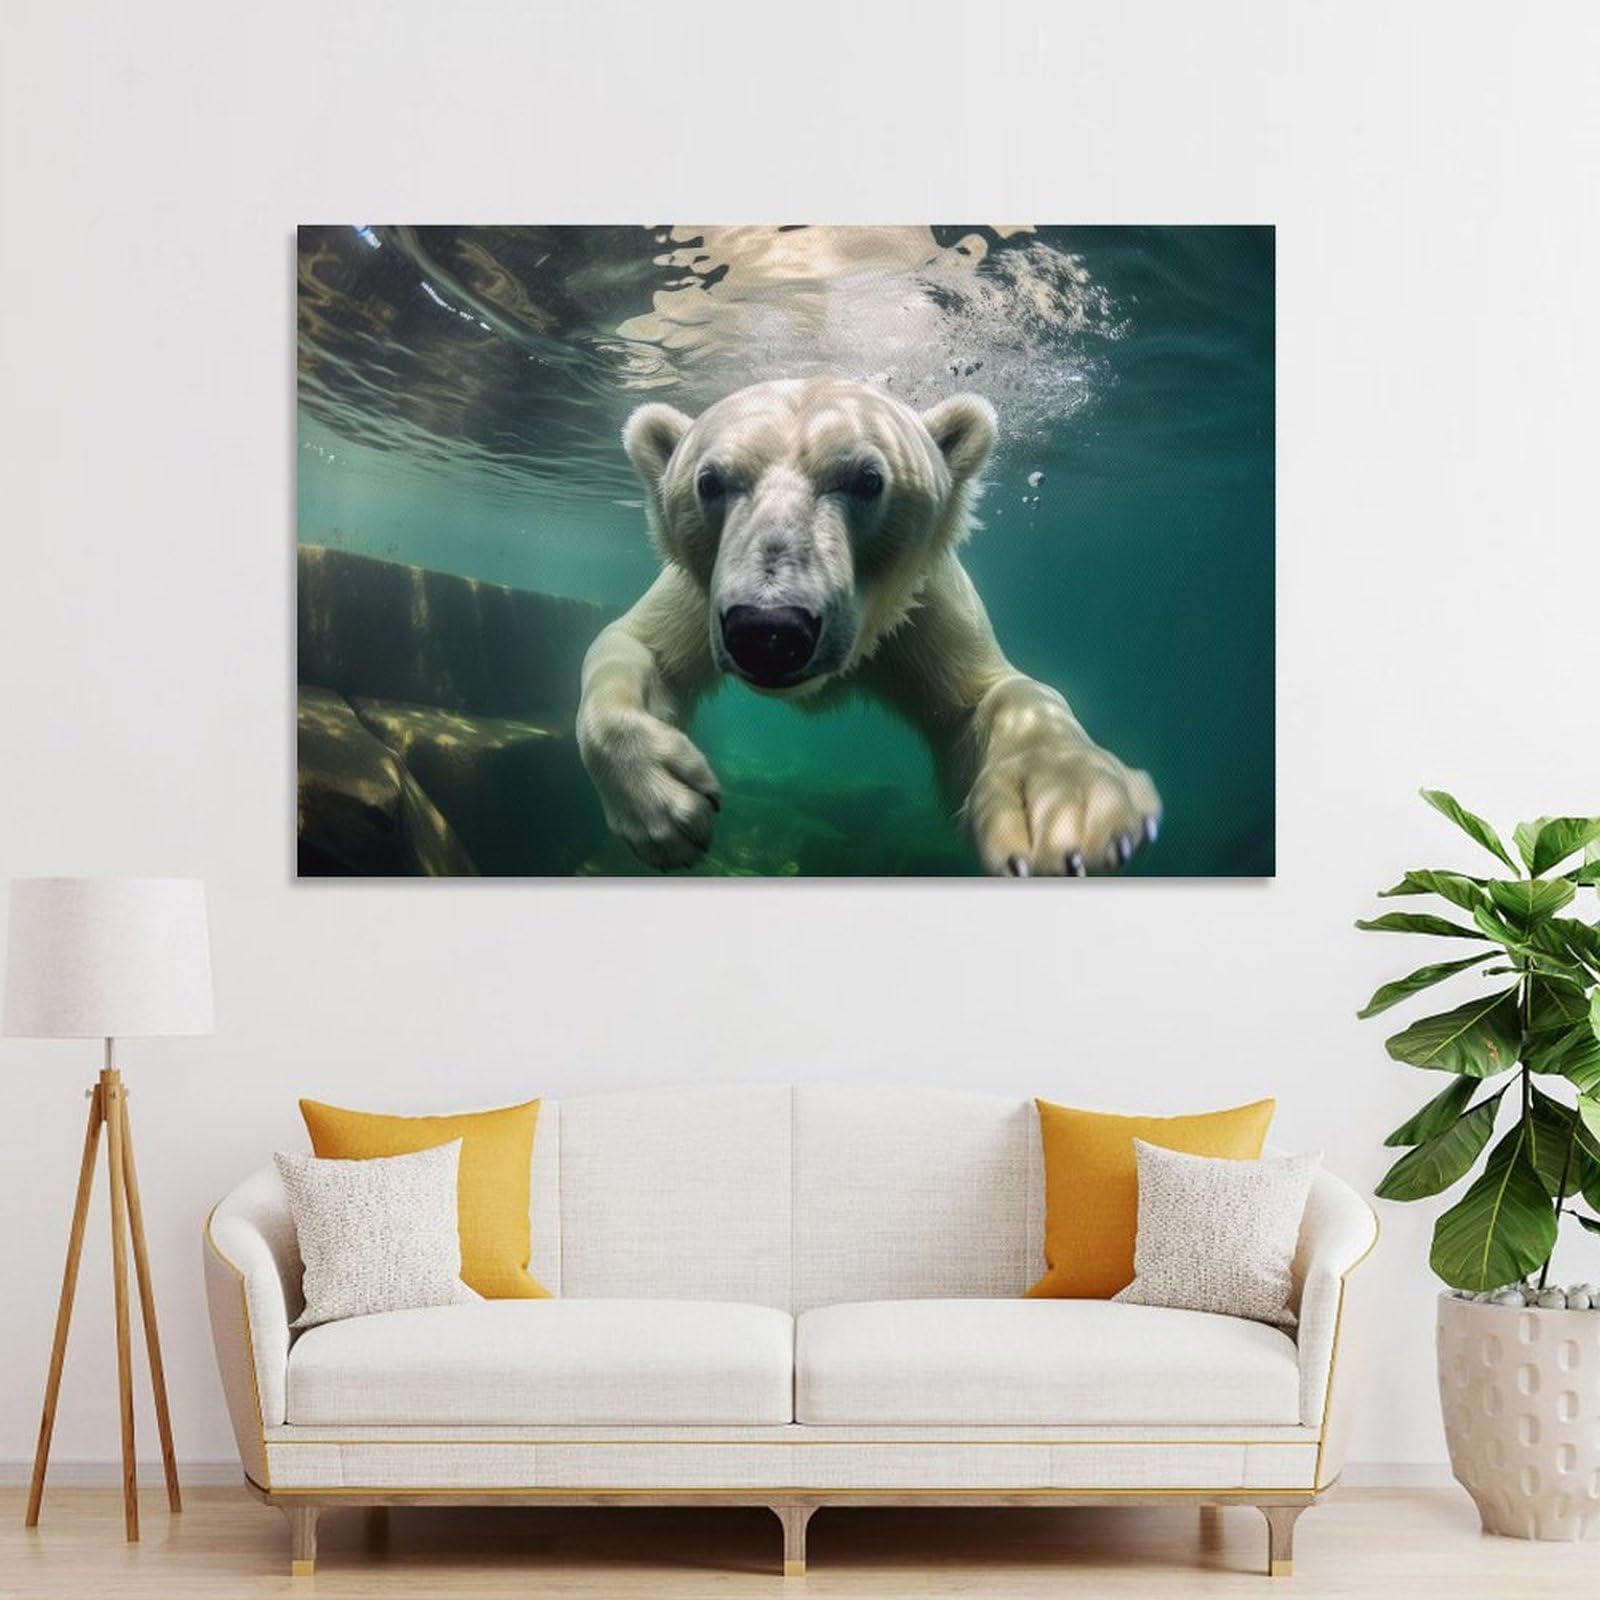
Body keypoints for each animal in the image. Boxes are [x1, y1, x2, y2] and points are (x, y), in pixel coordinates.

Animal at [576, 377, 1160, 876]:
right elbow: (635, 646)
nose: (769, 631)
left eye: (867, 480)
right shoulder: (699, 599)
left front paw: (1060, 810)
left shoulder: (922, 608)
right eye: (710, 481)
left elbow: (984, 698)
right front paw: (664, 810)